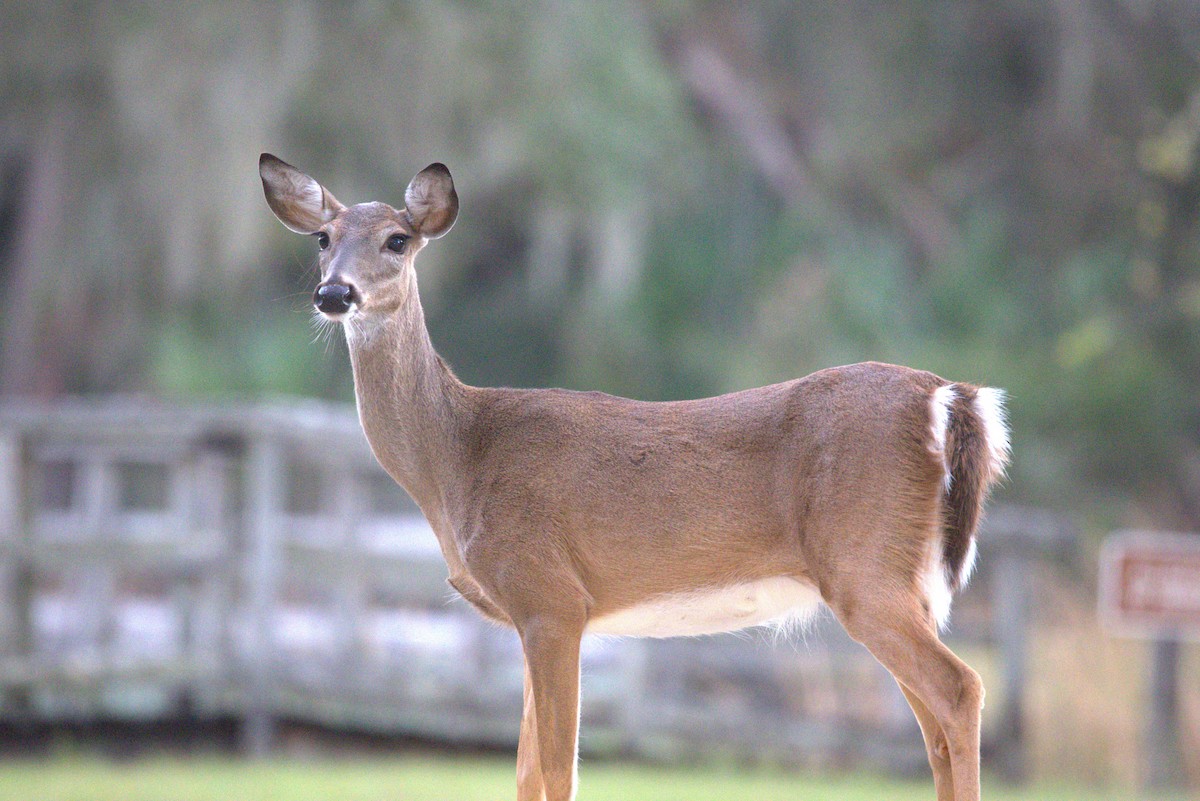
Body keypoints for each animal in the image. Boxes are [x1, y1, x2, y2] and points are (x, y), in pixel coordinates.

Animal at [259, 153, 1010, 801]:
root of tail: (947, 395)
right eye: (323, 238)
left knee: (961, 690)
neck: (458, 458)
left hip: (865, 567)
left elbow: (557, 772)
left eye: (396, 239)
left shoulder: (551, 595)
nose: (334, 293)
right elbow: (525, 773)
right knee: (933, 727)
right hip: (900, 582)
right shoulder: (532, 613)